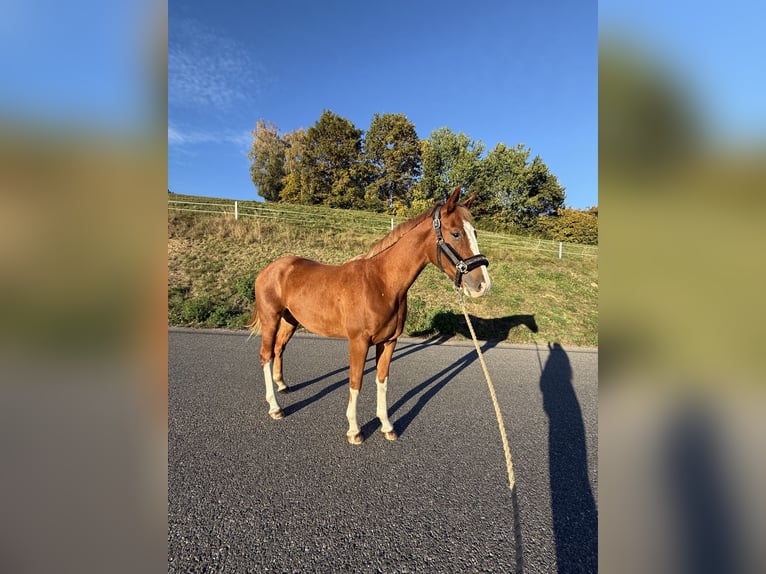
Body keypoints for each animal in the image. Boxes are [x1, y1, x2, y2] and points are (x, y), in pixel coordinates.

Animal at [247, 185, 491, 444]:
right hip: (271, 319)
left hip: (290, 321)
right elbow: (356, 381)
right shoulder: (358, 342)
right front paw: (354, 430)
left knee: (278, 349)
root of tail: (269, 269)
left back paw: (282, 386)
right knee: (265, 355)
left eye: (474, 232)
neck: (381, 282)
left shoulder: (389, 342)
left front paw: (387, 425)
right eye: (455, 233)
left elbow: (382, 381)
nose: (483, 285)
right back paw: (275, 407)